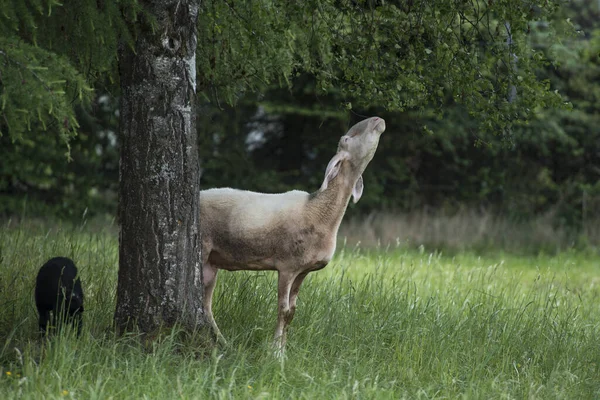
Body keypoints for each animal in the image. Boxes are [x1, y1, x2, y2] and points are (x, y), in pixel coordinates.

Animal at [202, 116, 386, 354]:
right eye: (346, 140)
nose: (378, 119)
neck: (318, 211)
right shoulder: (287, 266)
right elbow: (283, 310)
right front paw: (275, 353)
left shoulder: (303, 270)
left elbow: (293, 312)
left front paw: (283, 351)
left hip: (211, 262)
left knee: (205, 306)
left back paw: (225, 344)